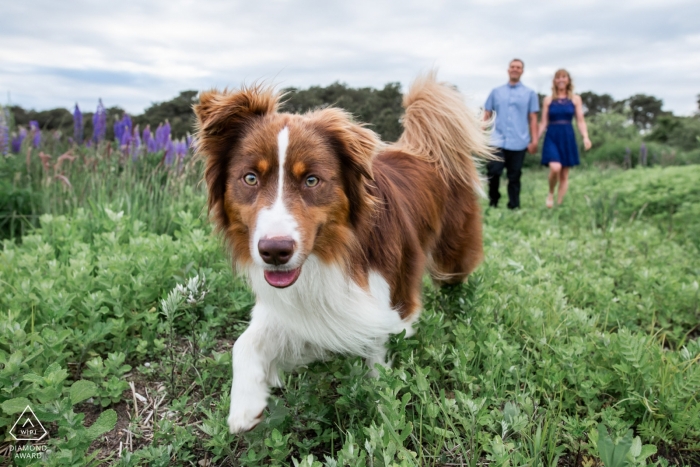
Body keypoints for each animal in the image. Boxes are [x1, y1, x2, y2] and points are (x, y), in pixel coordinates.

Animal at [194, 71, 490, 434]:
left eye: (311, 180)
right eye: (250, 178)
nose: (275, 251)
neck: (333, 252)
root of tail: (424, 148)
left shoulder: (387, 301)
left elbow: (379, 361)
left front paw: (384, 412)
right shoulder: (293, 306)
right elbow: (244, 343)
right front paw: (245, 404)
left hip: (453, 255)